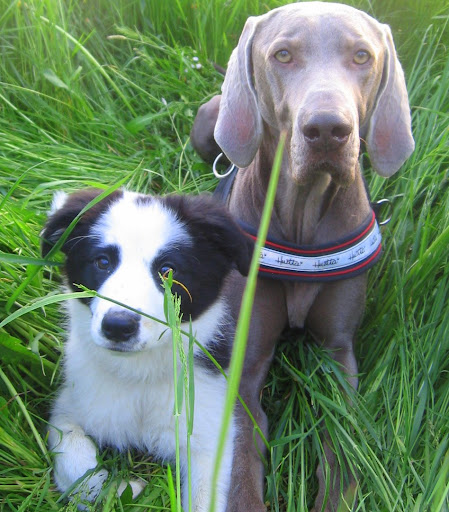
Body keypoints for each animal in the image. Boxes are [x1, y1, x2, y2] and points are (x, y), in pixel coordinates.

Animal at [42, 188, 253, 511]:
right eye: (102, 262)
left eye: (167, 270)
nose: (117, 326)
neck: (140, 375)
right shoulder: (71, 405)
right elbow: (75, 462)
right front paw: (116, 488)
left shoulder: (209, 434)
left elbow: (204, 498)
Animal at [190, 2, 414, 511]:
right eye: (283, 55)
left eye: (362, 56)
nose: (328, 130)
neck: (304, 222)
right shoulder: (244, 367)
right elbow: (240, 472)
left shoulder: (340, 352)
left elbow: (342, 449)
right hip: (207, 127)